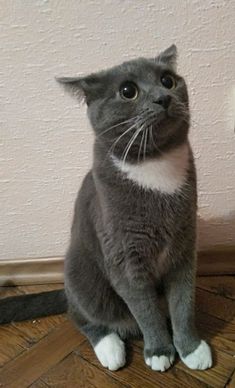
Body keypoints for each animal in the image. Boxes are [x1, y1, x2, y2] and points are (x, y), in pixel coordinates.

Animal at [0, 45, 212, 372]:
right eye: (128, 91)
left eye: (168, 80)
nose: (163, 98)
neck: (155, 165)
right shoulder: (124, 258)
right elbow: (145, 311)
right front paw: (159, 350)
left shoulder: (184, 246)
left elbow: (183, 302)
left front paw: (191, 348)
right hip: (81, 272)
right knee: (82, 316)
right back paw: (110, 348)